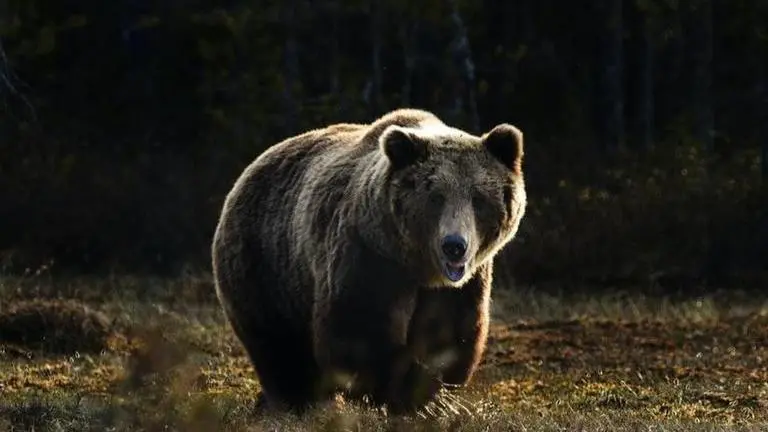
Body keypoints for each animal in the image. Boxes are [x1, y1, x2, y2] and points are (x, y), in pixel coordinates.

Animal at [211, 108, 527, 414]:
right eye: (435, 197)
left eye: (478, 198)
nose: (454, 246)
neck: (417, 266)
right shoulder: (367, 256)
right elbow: (358, 331)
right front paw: (418, 397)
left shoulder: (460, 286)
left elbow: (449, 334)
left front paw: (435, 395)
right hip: (265, 264)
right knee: (277, 345)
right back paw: (295, 401)